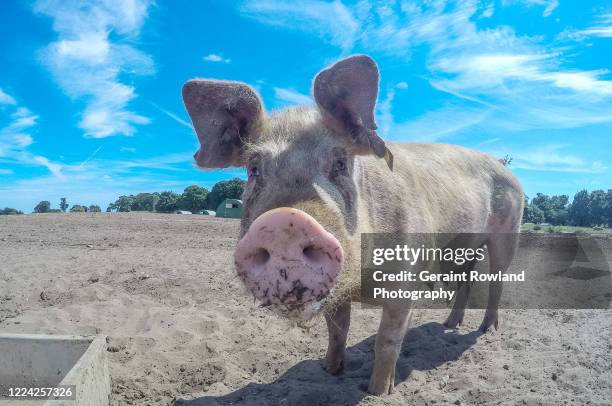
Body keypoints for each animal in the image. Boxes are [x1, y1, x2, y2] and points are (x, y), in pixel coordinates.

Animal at [180, 55, 520, 394]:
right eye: (253, 169)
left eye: (340, 163)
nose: (285, 222)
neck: (360, 283)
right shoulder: (339, 295)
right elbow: (337, 330)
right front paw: (329, 371)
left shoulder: (405, 280)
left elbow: (388, 339)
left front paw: (378, 392)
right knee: (466, 281)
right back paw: (451, 325)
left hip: (507, 233)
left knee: (496, 281)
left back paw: (486, 330)